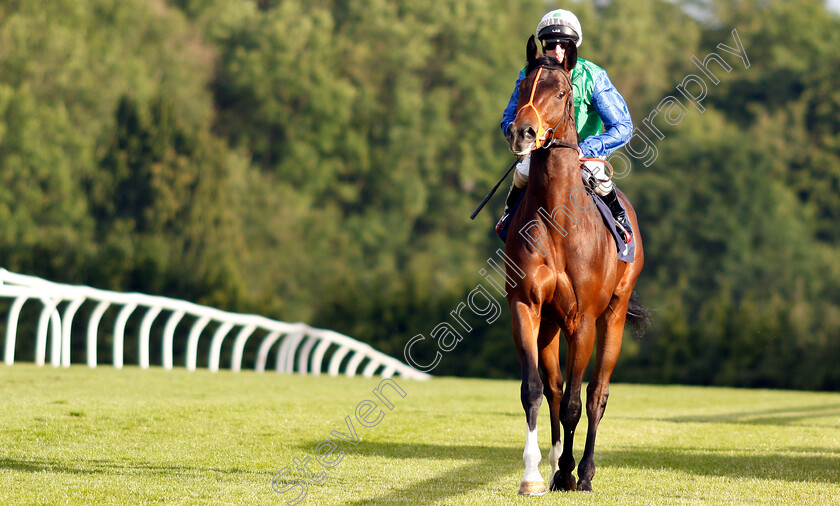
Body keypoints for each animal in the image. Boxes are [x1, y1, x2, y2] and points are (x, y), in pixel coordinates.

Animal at [502, 35, 648, 494]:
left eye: (563, 92)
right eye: (523, 85)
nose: (523, 132)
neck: (557, 219)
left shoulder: (583, 318)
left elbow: (574, 404)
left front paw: (568, 471)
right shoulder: (527, 305)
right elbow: (534, 390)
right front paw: (534, 474)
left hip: (613, 314)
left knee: (596, 393)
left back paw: (582, 470)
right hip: (551, 324)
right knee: (553, 387)